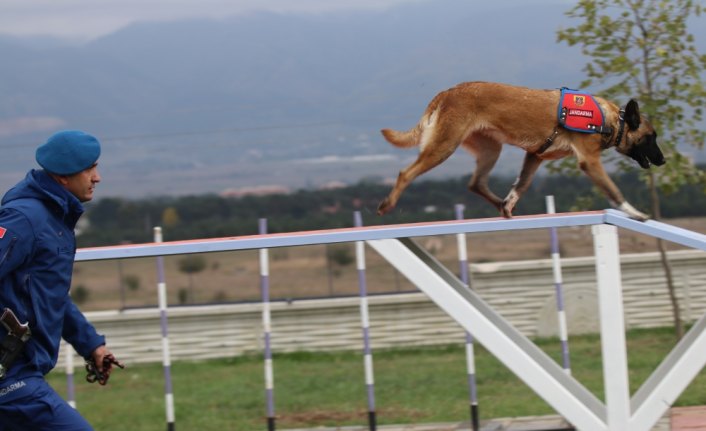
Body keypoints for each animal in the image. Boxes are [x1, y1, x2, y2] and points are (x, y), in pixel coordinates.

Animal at [376, 82, 664, 219]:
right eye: (651, 138)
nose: (662, 160)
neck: (612, 120)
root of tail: (448, 92)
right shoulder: (590, 162)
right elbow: (615, 192)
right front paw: (635, 213)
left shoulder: (535, 156)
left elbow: (521, 185)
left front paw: (509, 202)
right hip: (444, 146)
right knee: (406, 173)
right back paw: (387, 204)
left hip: (491, 149)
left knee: (475, 183)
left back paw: (501, 206)